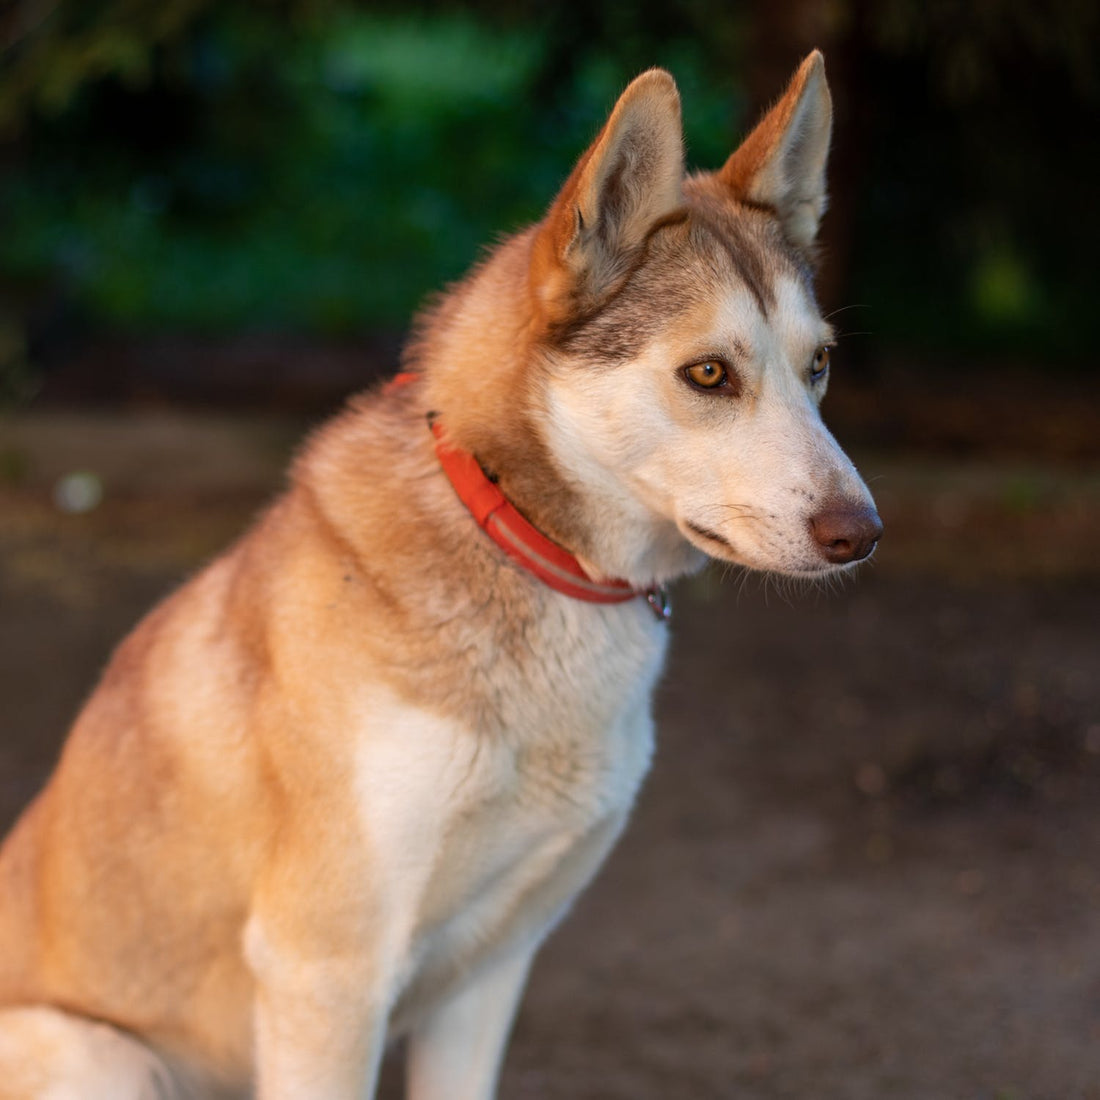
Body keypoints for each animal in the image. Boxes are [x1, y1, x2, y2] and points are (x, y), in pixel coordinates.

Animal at [0, 51, 875, 1100]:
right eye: (708, 374)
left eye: (818, 365)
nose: (862, 532)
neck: (522, 548)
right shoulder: (328, 973)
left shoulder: (491, 969)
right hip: (102, 1052)